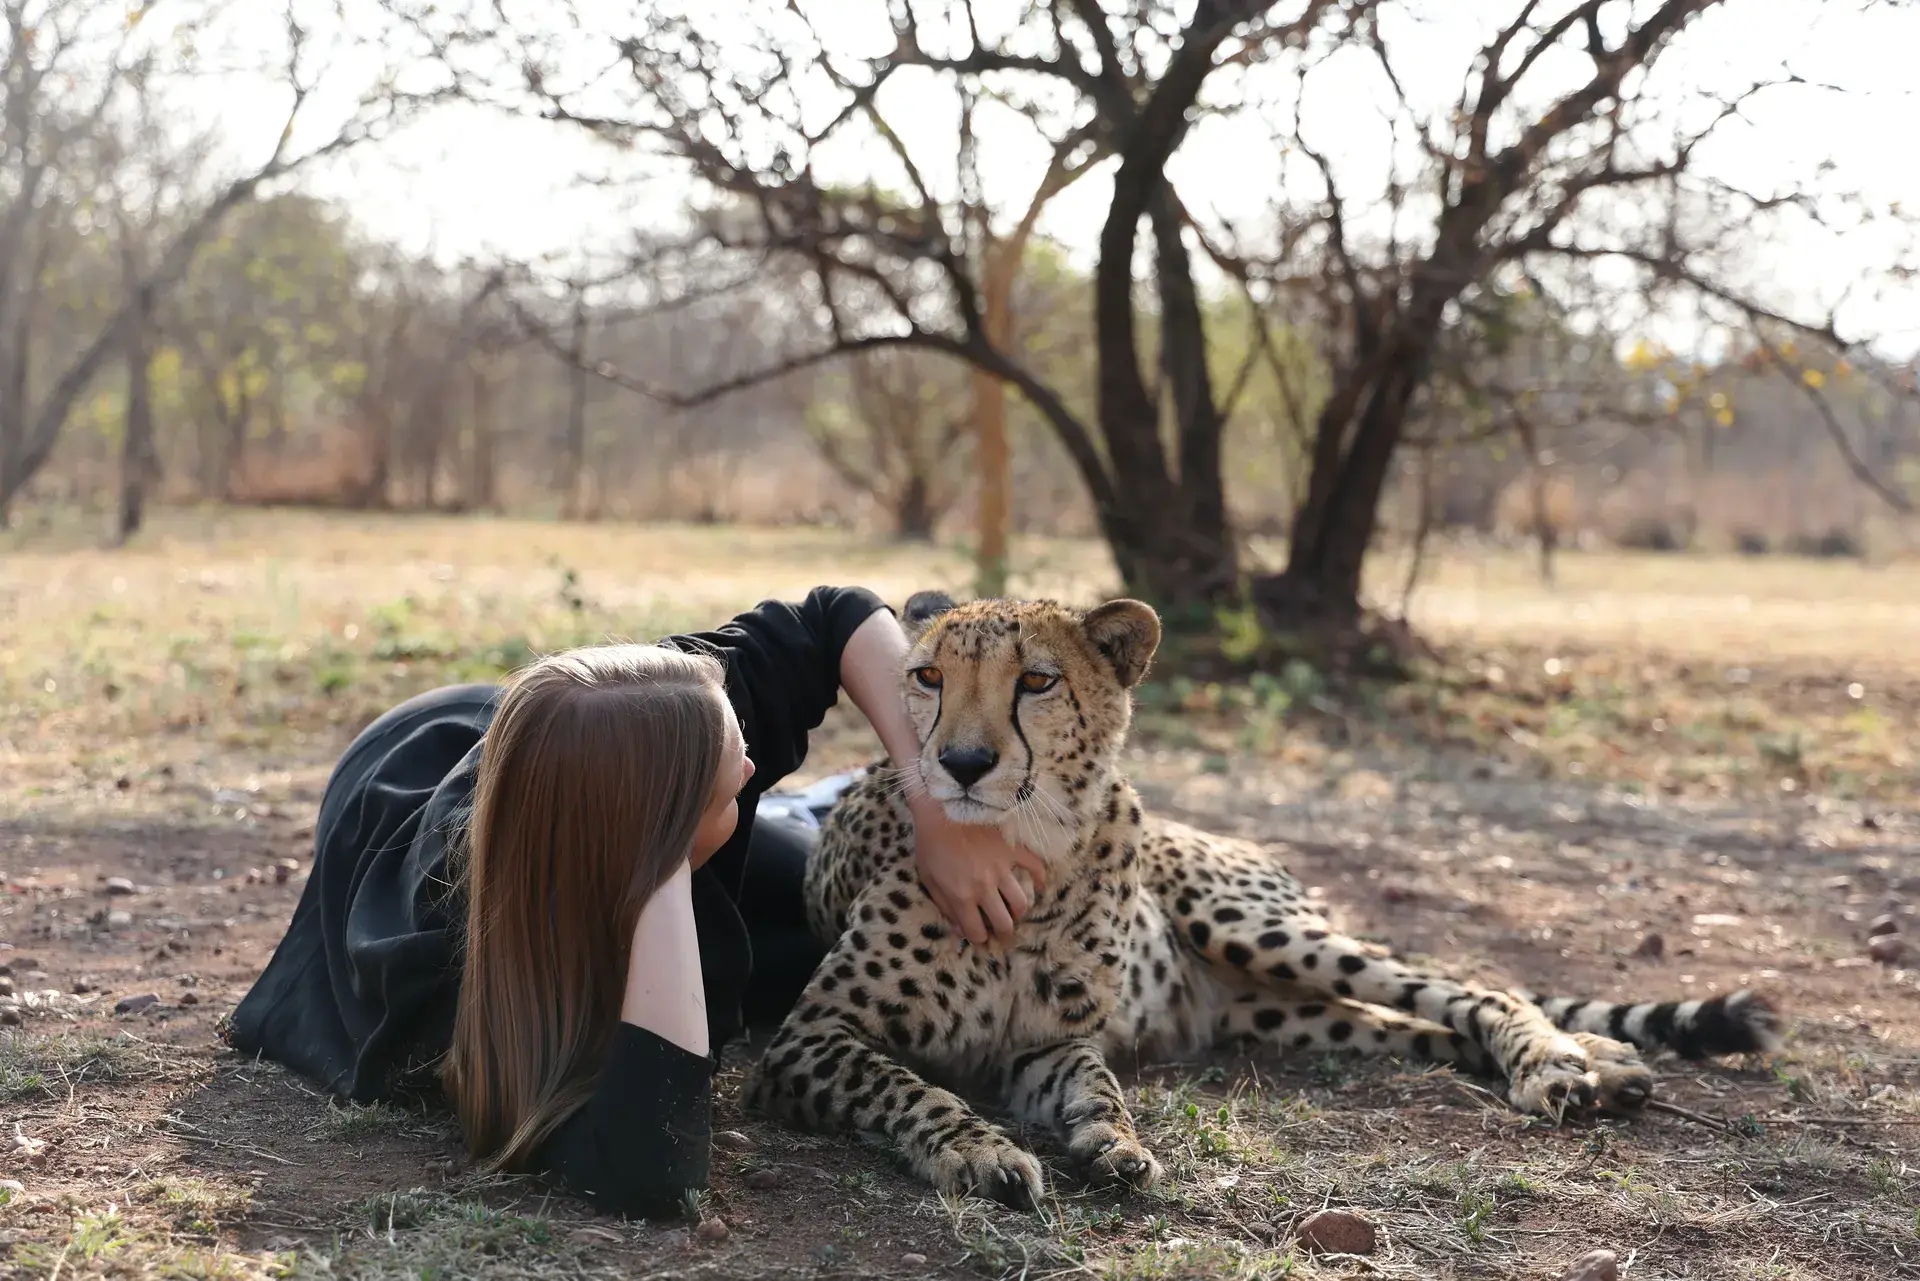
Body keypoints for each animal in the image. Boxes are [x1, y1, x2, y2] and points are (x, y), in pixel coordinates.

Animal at [745, 591, 1783, 1208]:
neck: (1024, 855)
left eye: (1036, 680)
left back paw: (1564, 1064)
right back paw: (1606, 1063)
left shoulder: (1046, 1042)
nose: (960, 762)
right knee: (1430, 1024)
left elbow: (1098, 1084)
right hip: (1292, 1008)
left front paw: (1110, 1139)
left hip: (1261, 930)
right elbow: (909, 1083)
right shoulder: (817, 1040)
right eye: (926, 676)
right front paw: (985, 1148)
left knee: (1474, 989)